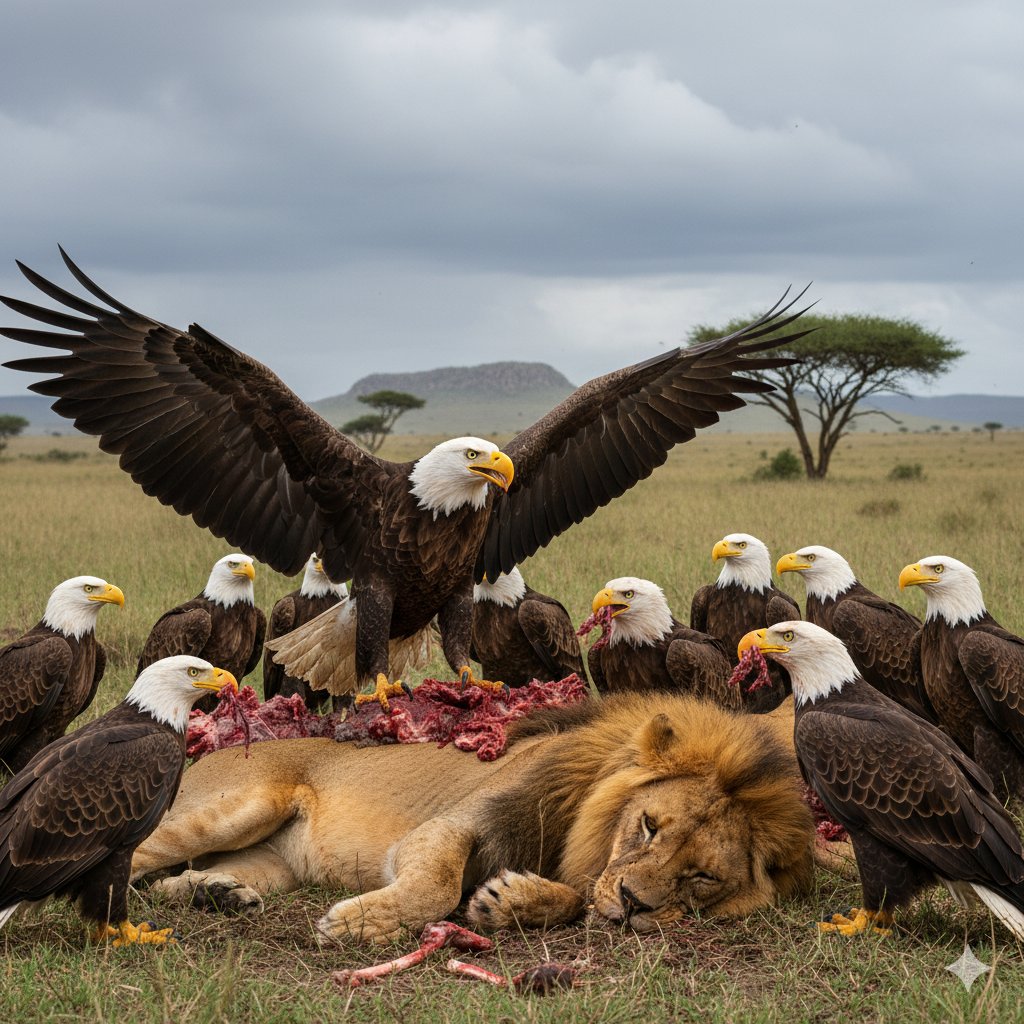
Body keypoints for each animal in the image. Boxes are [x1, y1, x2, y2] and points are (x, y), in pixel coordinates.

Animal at [130, 692, 814, 943]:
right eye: (649, 825)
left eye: (702, 878)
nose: (633, 903)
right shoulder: (454, 824)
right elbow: (434, 886)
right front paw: (354, 924)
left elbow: (574, 895)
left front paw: (507, 902)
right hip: (238, 806)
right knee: (133, 856)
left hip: (273, 866)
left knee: (173, 881)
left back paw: (214, 894)